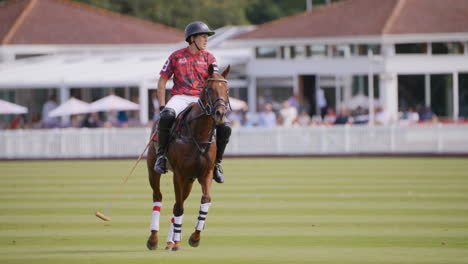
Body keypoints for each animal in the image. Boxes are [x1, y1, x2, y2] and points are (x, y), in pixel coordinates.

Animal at [144, 64, 229, 252]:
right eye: (209, 88)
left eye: (227, 89)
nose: (220, 113)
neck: (199, 133)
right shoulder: (179, 174)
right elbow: (178, 207)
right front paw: (178, 240)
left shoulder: (205, 173)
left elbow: (205, 200)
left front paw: (194, 237)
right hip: (153, 170)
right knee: (157, 197)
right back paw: (153, 239)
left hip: (189, 180)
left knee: (179, 200)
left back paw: (172, 241)